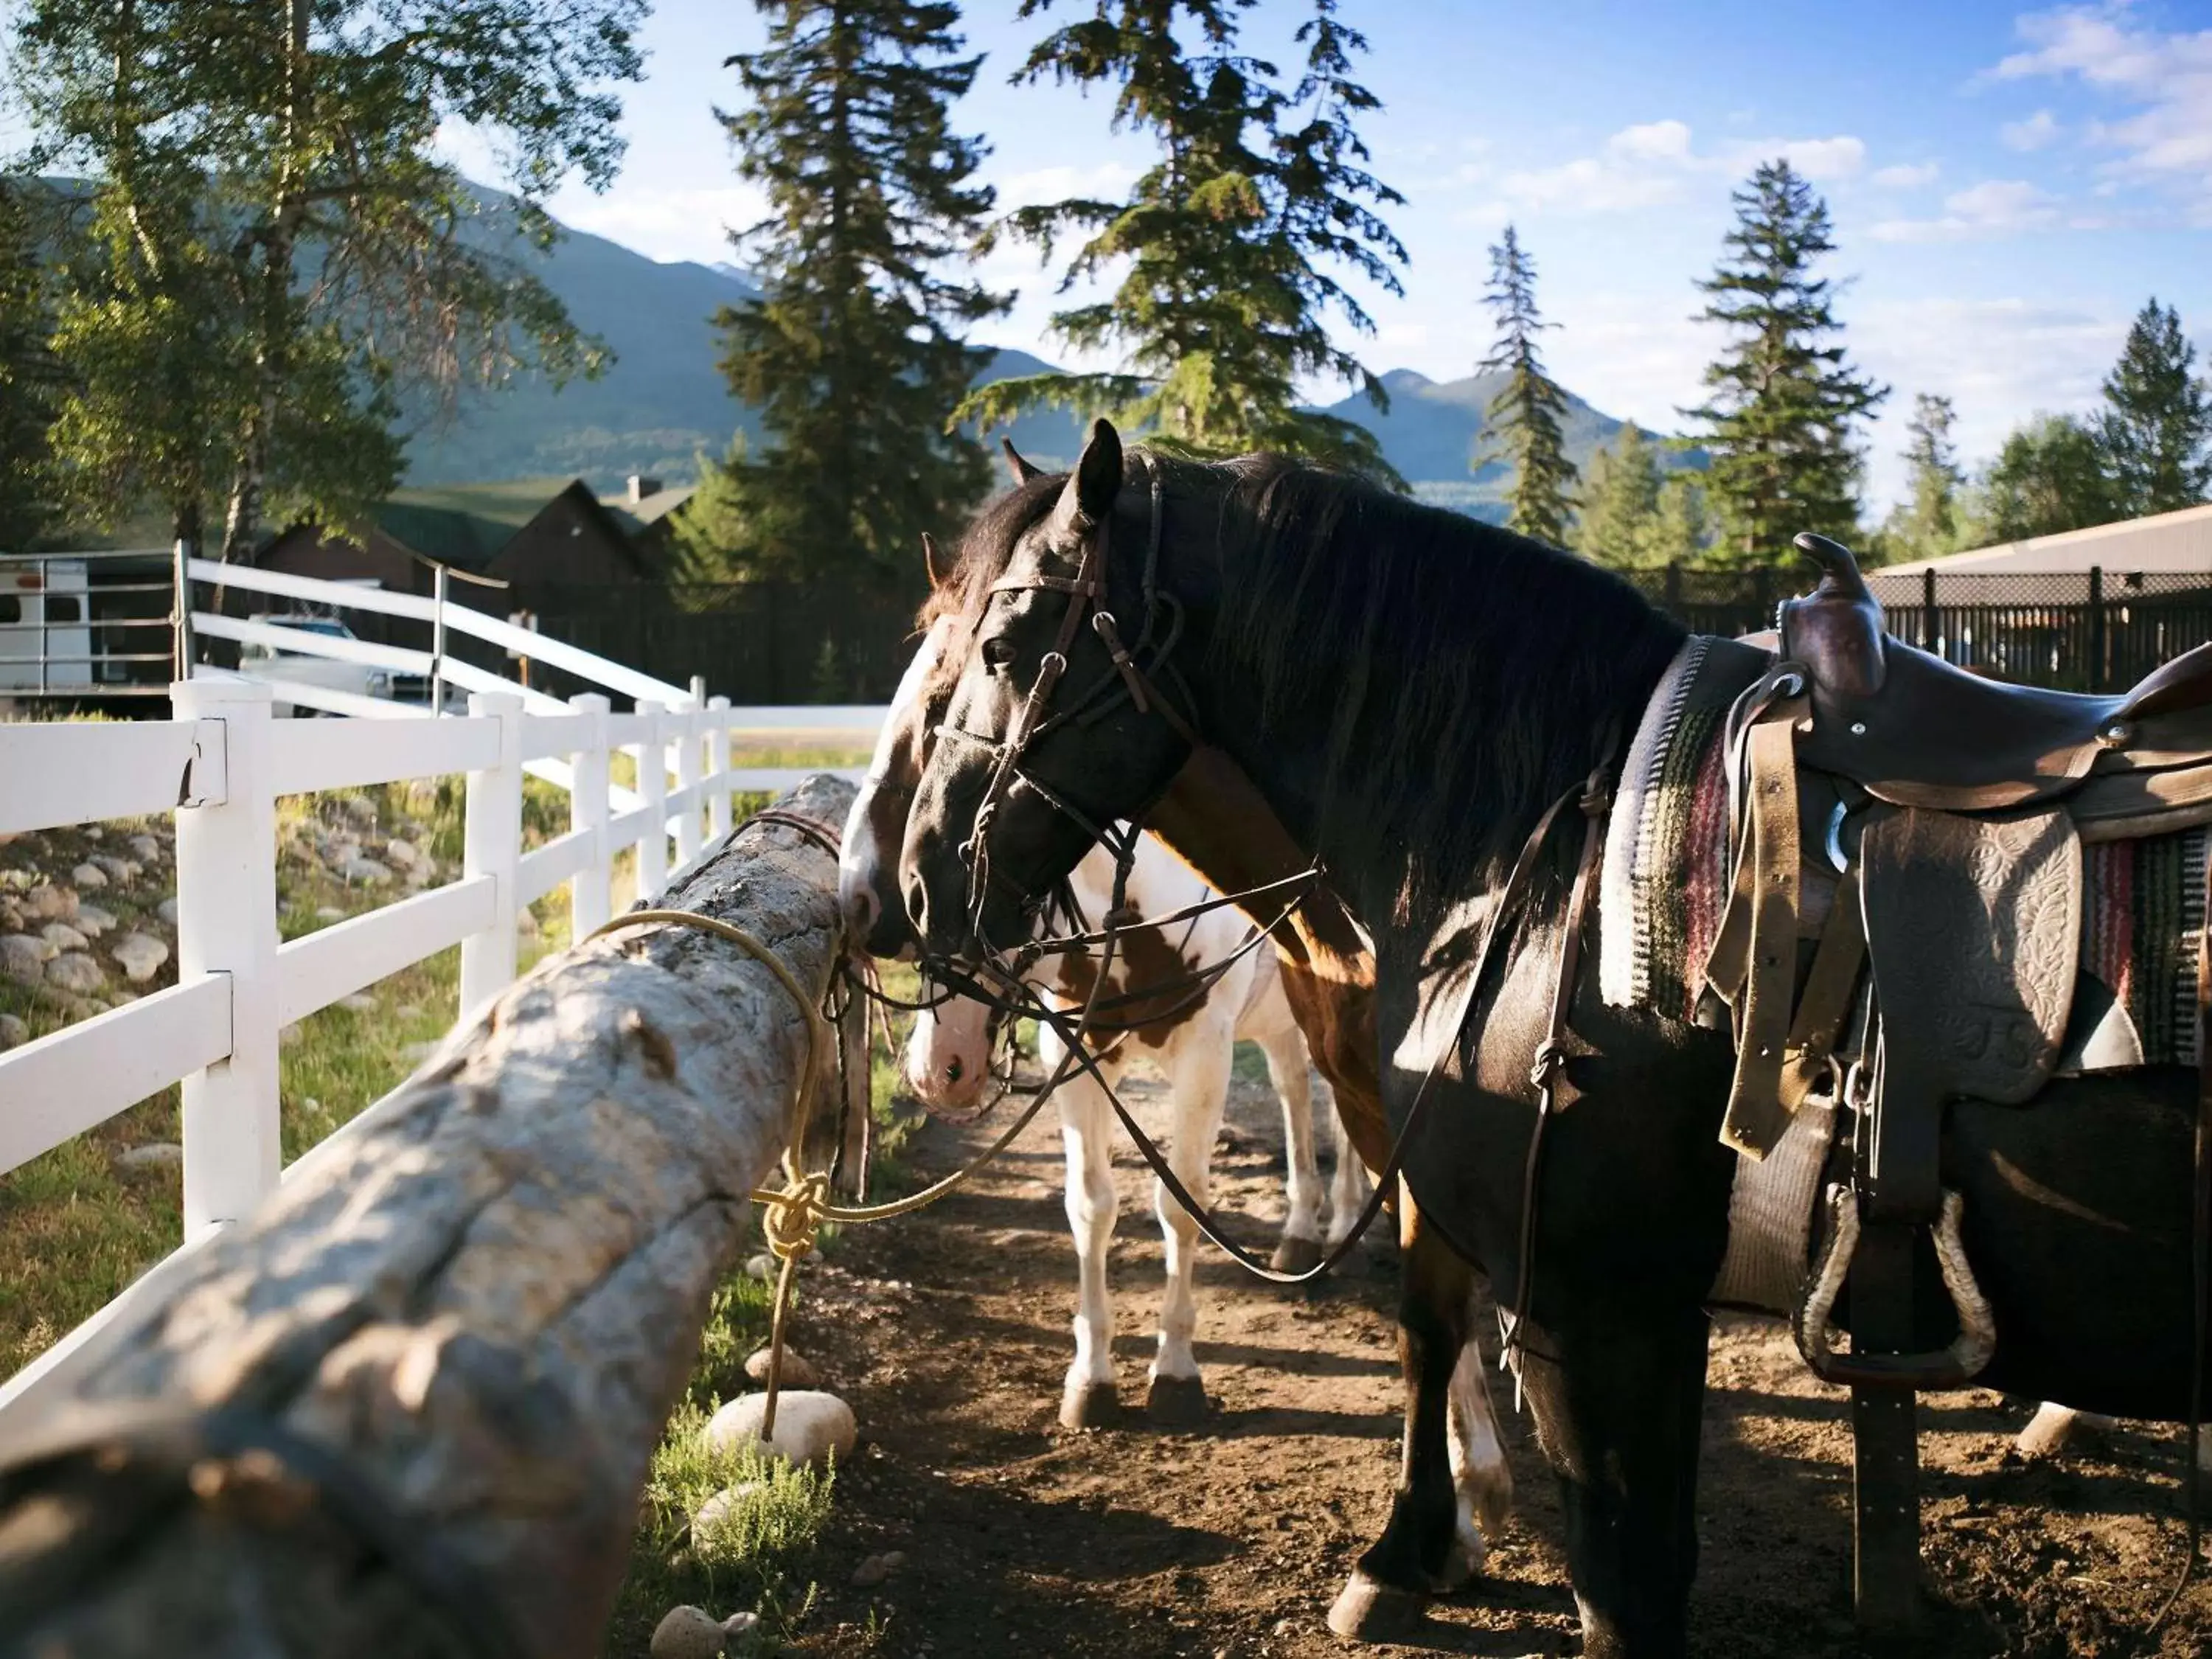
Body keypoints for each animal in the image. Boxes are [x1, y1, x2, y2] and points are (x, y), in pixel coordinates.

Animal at [889, 422, 2203, 1659]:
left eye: (999, 651)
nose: (914, 885)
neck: (1544, 850)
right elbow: (1426, 1321)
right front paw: (1413, 1547)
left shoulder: (1601, 1315)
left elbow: (1620, 1591)